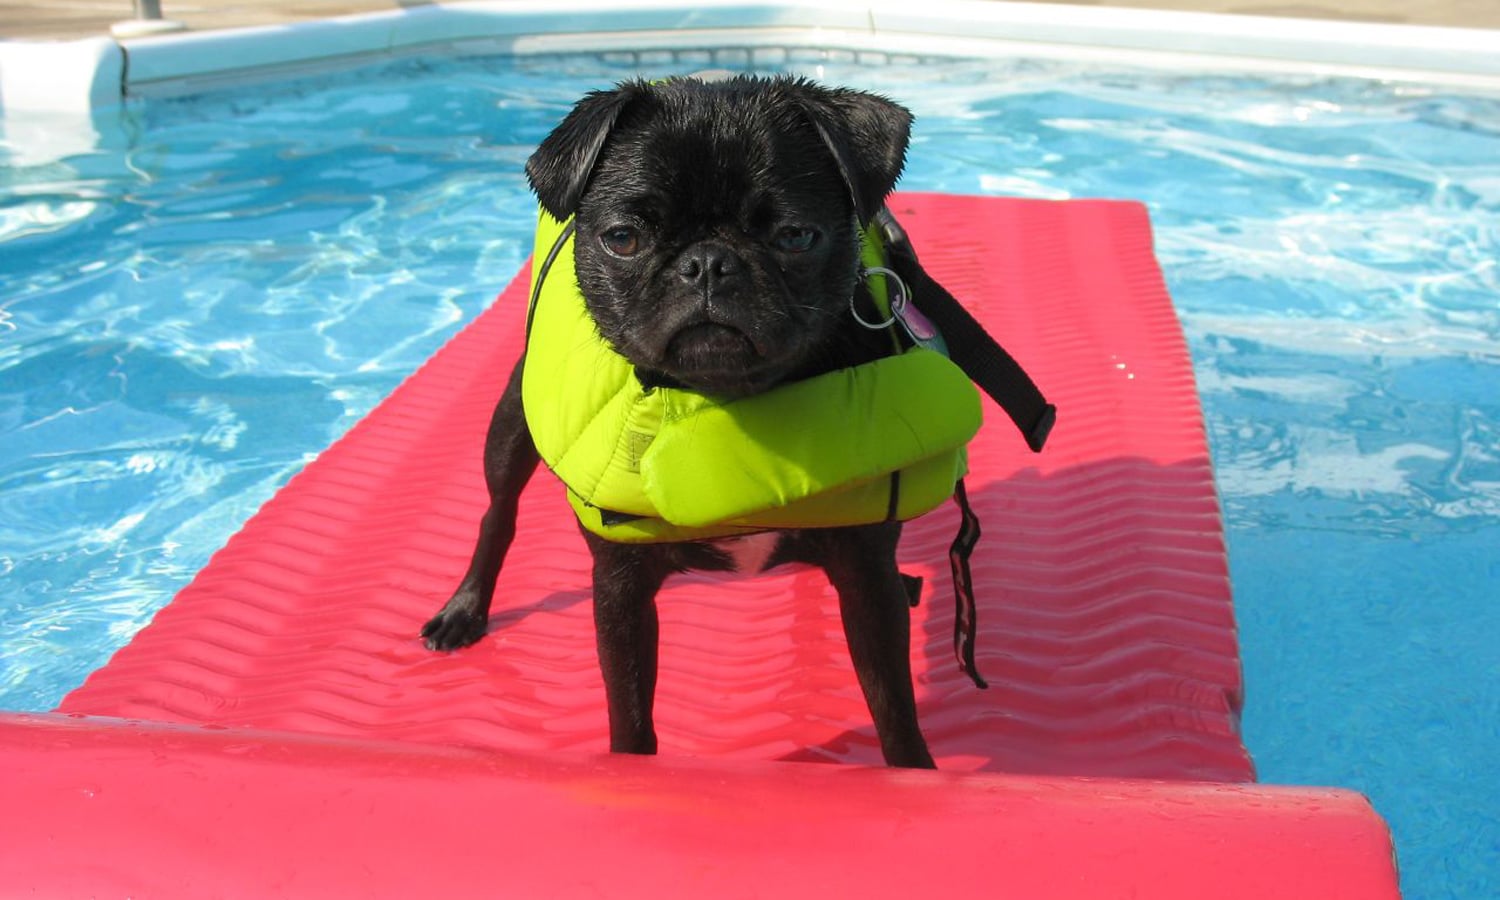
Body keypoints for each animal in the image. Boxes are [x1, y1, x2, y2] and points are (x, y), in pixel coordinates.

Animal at [423, 75, 936, 765]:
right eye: (624, 238)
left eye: (796, 236)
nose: (708, 263)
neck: (728, 404)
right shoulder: (620, 589)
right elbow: (630, 713)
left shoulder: (865, 581)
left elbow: (894, 710)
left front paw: (917, 774)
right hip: (511, 426)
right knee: (498, 512)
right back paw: (465, 608)